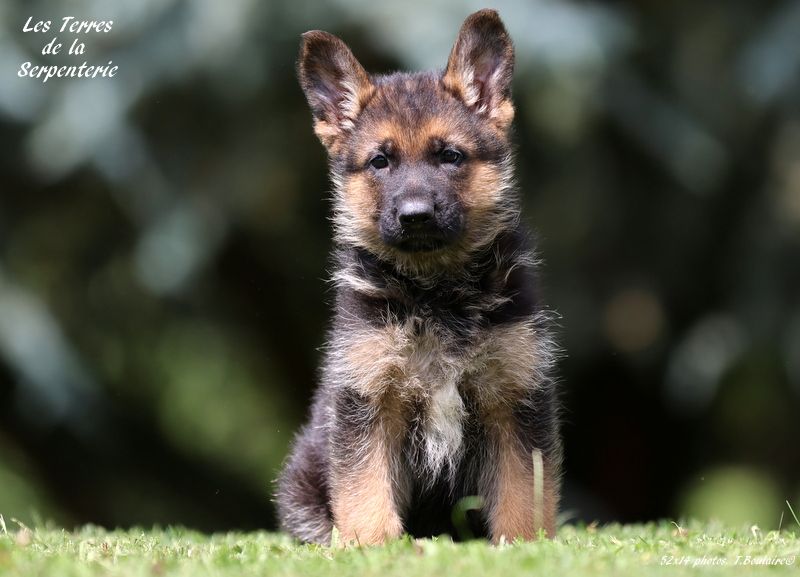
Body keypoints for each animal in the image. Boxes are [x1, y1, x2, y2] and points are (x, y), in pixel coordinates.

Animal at [278, 7, 560, 544]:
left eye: (450, 156)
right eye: (379, 161)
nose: (416, 216)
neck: (435, 292)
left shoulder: (515, 395)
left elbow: (521, 490)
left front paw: (523, 545)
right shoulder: (367, 399)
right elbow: (365, 485)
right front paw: (371, 546)